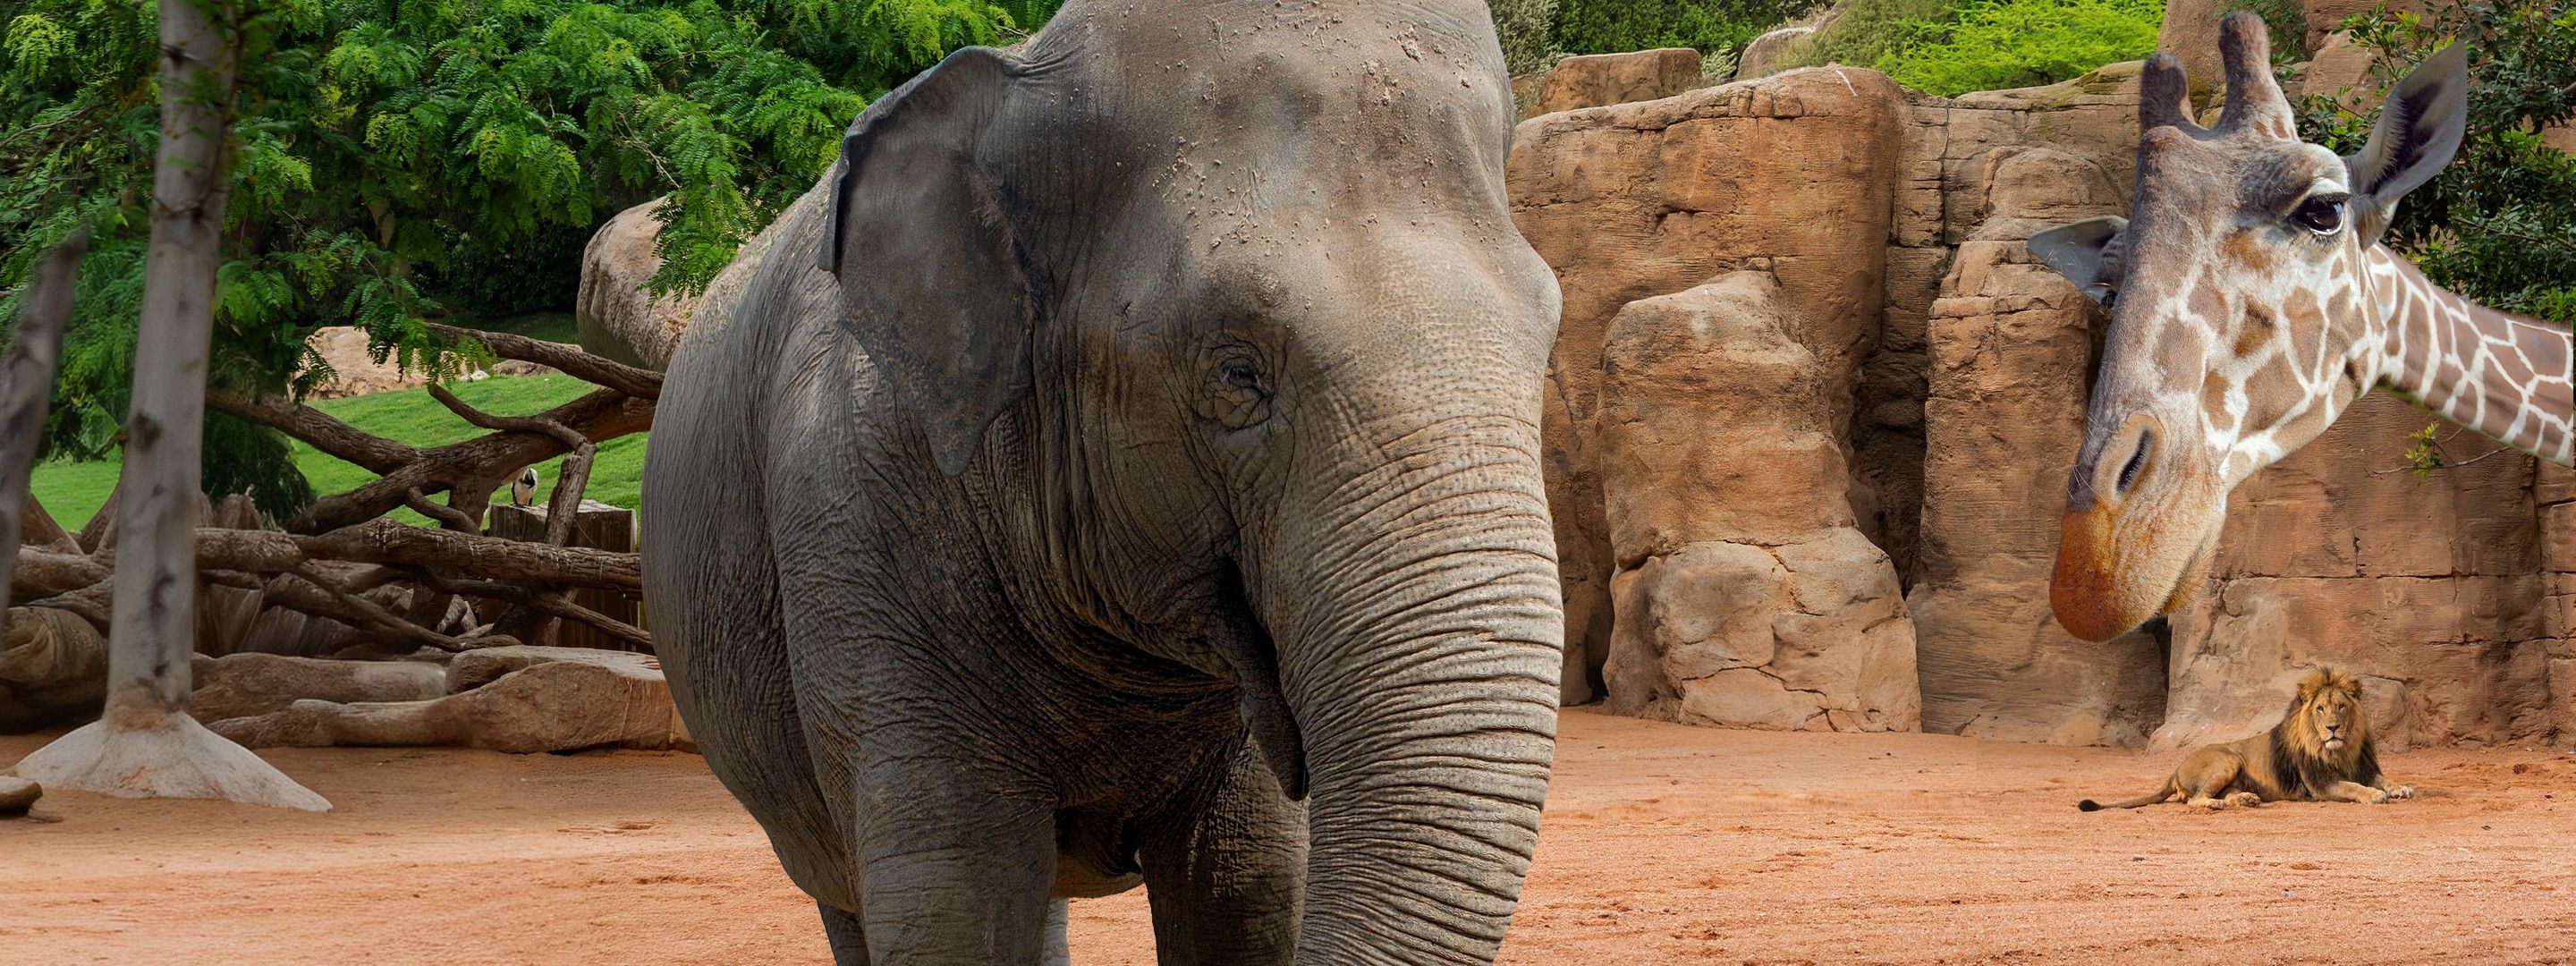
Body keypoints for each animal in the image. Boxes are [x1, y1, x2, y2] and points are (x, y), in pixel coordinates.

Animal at [2079, 668, 2414, 811]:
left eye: (2341, 706)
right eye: (2320, 709)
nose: (2332, 727)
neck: (2340, 750)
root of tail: (2175, 768)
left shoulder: (2364, 767)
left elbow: (2383, 779)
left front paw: (2401, 788)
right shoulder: (2320, 783)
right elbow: (2352, 787)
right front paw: (2374, 796)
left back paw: (2247, 799)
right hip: (2227, 760)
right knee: (2197, 800)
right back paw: (2217, 805)